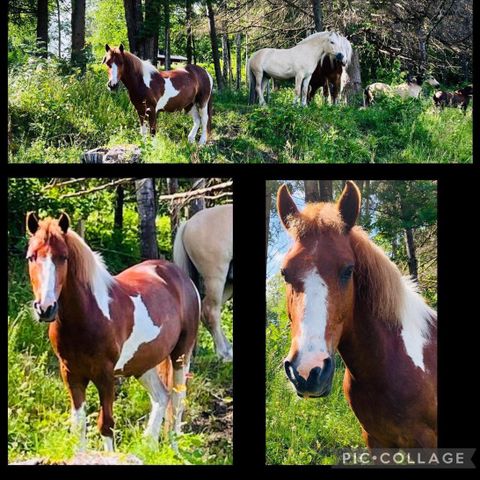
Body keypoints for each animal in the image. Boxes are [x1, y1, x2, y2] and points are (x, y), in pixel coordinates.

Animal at [24, 212, 201, 452]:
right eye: (31, 257)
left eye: (63, 257)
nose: (45, 308)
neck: (87, 316)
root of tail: (182, 278)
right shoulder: (71, 374)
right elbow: (79, 426)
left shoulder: (105, 376)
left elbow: (106, 425)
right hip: (142, 364)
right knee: (162, 397)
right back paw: (150, 446)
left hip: (181, 355)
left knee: (177, 400)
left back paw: (173, 451)